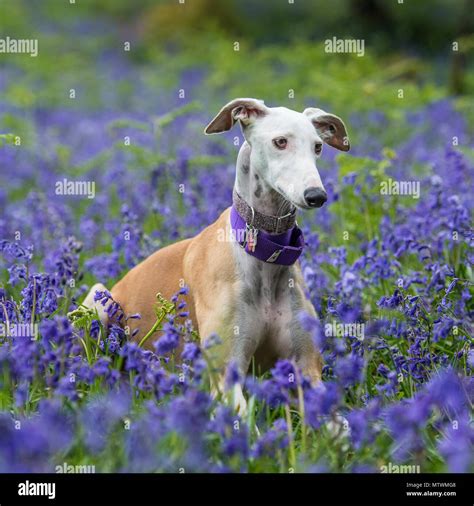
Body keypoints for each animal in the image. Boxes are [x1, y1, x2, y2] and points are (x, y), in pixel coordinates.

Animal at [81, 98, 350, 412]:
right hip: (98, 298)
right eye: (280, 142)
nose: (316, 195)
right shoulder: (225, 379)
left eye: (317, 146)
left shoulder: (307, 369)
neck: (265, 254)